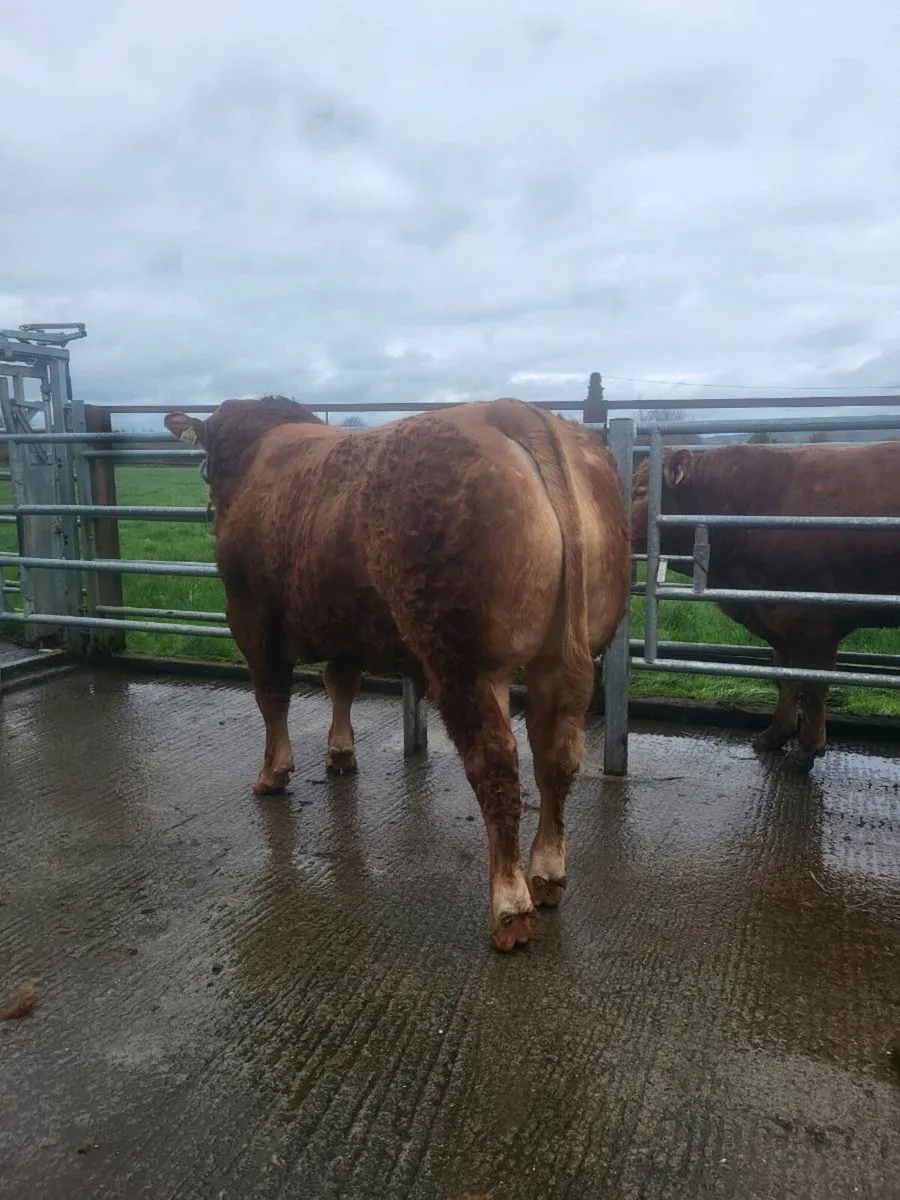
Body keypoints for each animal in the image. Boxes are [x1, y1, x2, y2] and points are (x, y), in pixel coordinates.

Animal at [165, 396, 631, 950]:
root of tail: (510, 411)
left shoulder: (250, 616)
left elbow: (272, 695)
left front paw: (273, 772)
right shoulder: (344, 623)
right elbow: (340, 683)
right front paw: (340, 755)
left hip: (464, 659)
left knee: (496, 763)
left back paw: (509, 907)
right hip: (558, 658)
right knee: (555, 757)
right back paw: (547, 876)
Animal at [631, 441, 900, 773]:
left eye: (642, 491)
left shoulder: (809, 621)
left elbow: (813, 687)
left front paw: (805, 752)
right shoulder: (777, 620)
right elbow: (784, 678)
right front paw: (775, 735)